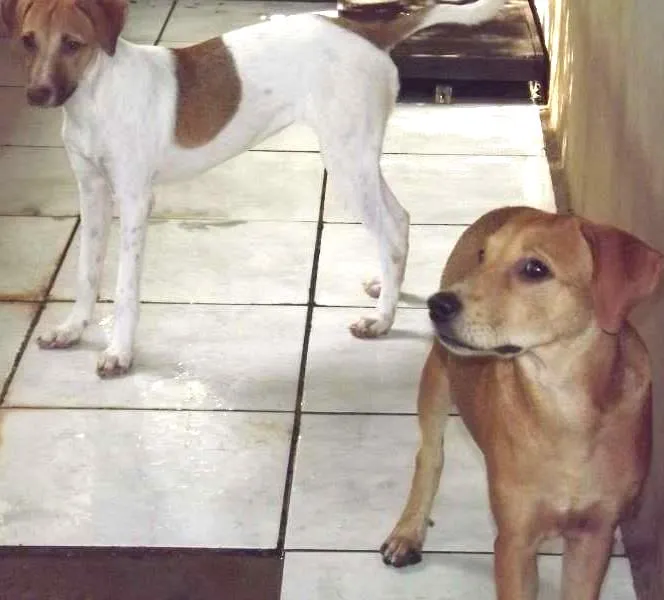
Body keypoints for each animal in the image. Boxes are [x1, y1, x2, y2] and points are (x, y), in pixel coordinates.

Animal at [0, 0, 504, 377]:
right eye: (28, 41)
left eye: (73, 44)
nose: (37, 95)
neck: (96, 98)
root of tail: (361, 31)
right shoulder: (91, 194)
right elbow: (86, 272)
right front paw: (73, 329)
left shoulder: (135, 200)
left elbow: (124, 289)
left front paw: (119, 352)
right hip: (357, 158)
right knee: (398, 221)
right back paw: (386, 290)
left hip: (346, 162)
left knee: (392, 225)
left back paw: (382, 319)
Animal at [380, 206, 663, 599]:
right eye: (484, 256)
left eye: (535, 269)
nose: (438, 304)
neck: (565, 408)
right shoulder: (515, 540)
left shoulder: (594, 536)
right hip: (438, 375)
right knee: (430, 456)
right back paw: (408, 531)